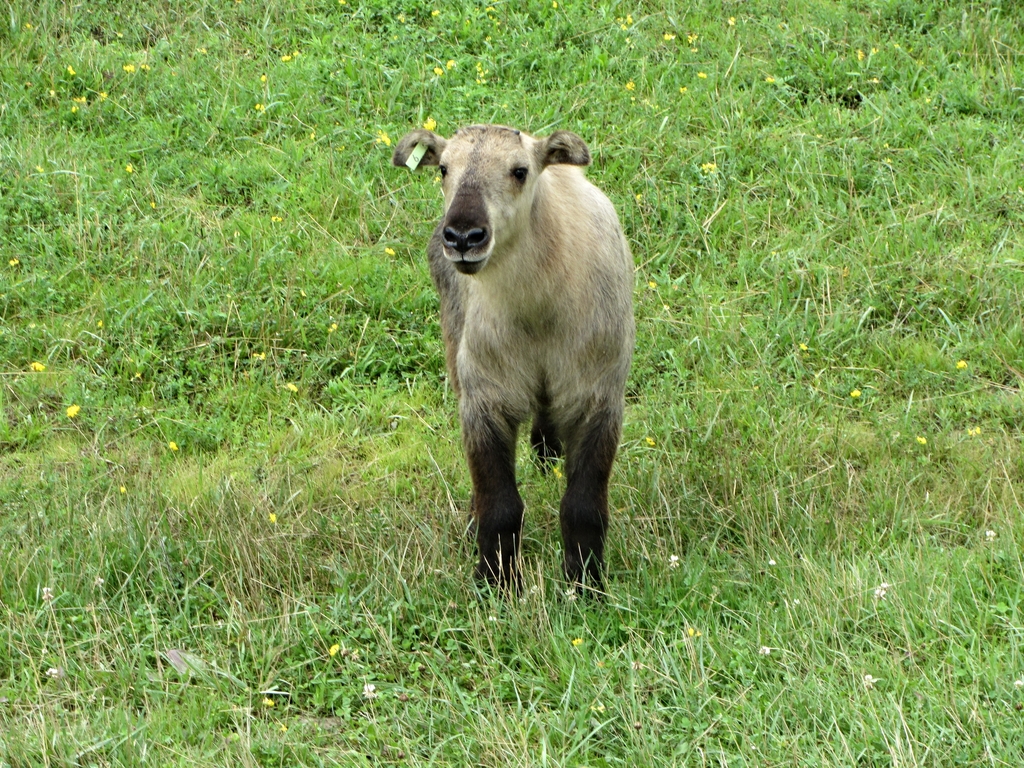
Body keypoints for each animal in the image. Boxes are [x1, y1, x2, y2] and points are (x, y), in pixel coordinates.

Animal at [392, 124, 634, 592]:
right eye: (443, 169)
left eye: (520, 171)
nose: (463, 237)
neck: (538, 312)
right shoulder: (484, 397)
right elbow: (500, 506)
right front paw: (496, 584)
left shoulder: (598, 394)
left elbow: (583, 507)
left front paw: (586, 586)